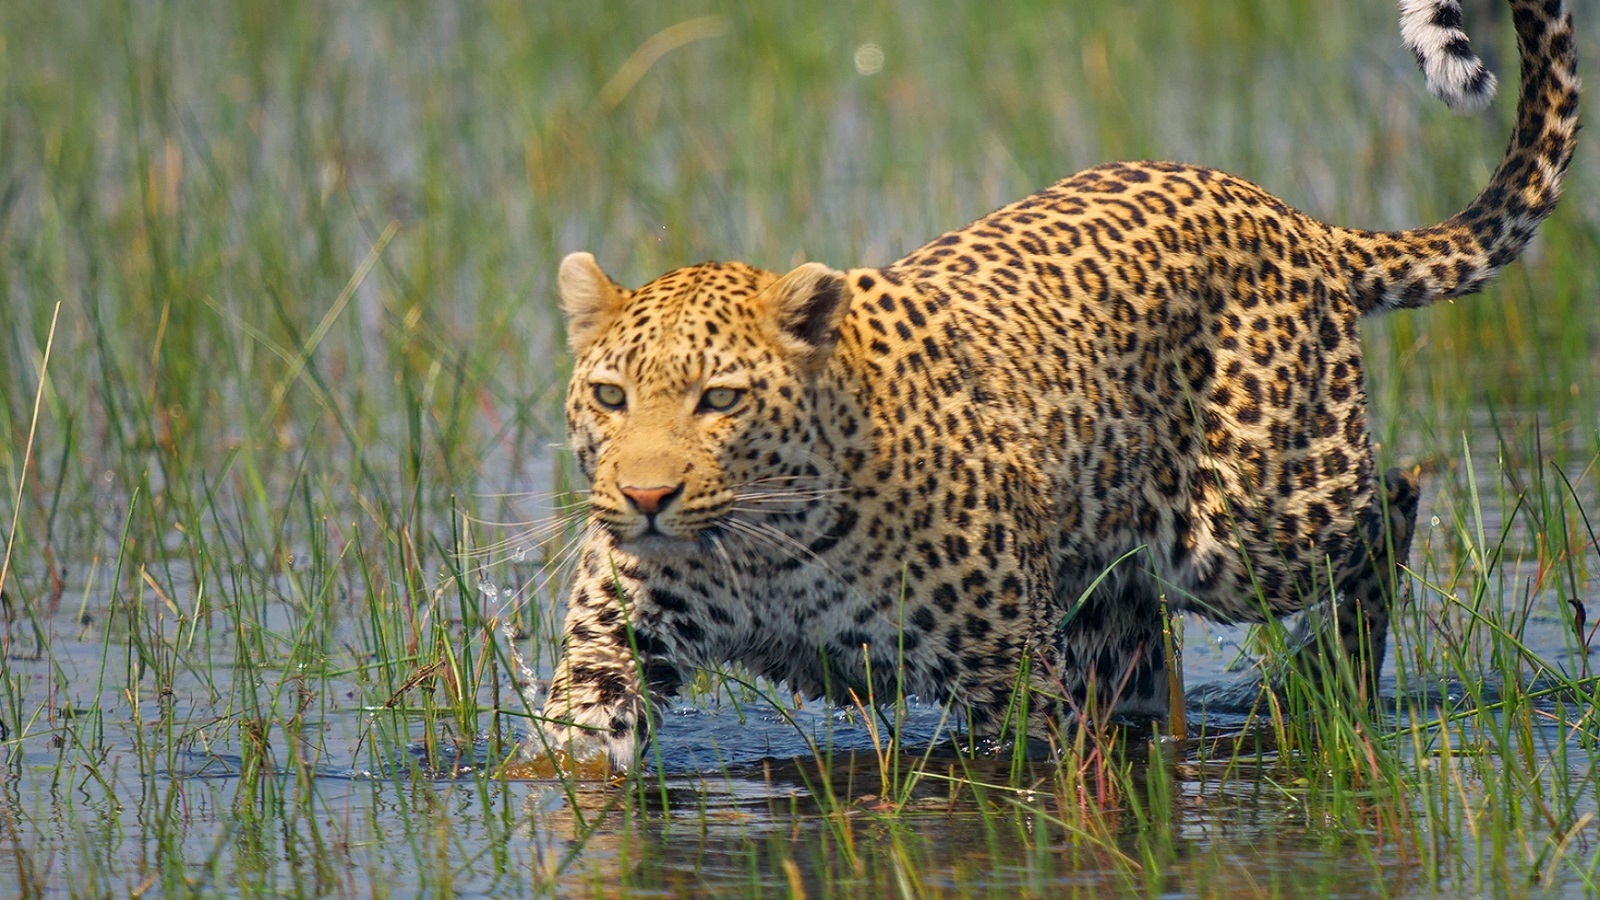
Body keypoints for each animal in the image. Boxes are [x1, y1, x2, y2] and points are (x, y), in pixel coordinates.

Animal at [532, 0, 1579, 771]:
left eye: (720, 399)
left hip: (1255, 525)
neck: (763, 551)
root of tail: (1295, 217)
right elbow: (571, 767)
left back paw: (1336, 678)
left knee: (1393, 498)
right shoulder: (608, 661)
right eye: (611, 397)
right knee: (1146, 675)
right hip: (1112, 595)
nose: (645, 498)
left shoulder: (1009, 677)